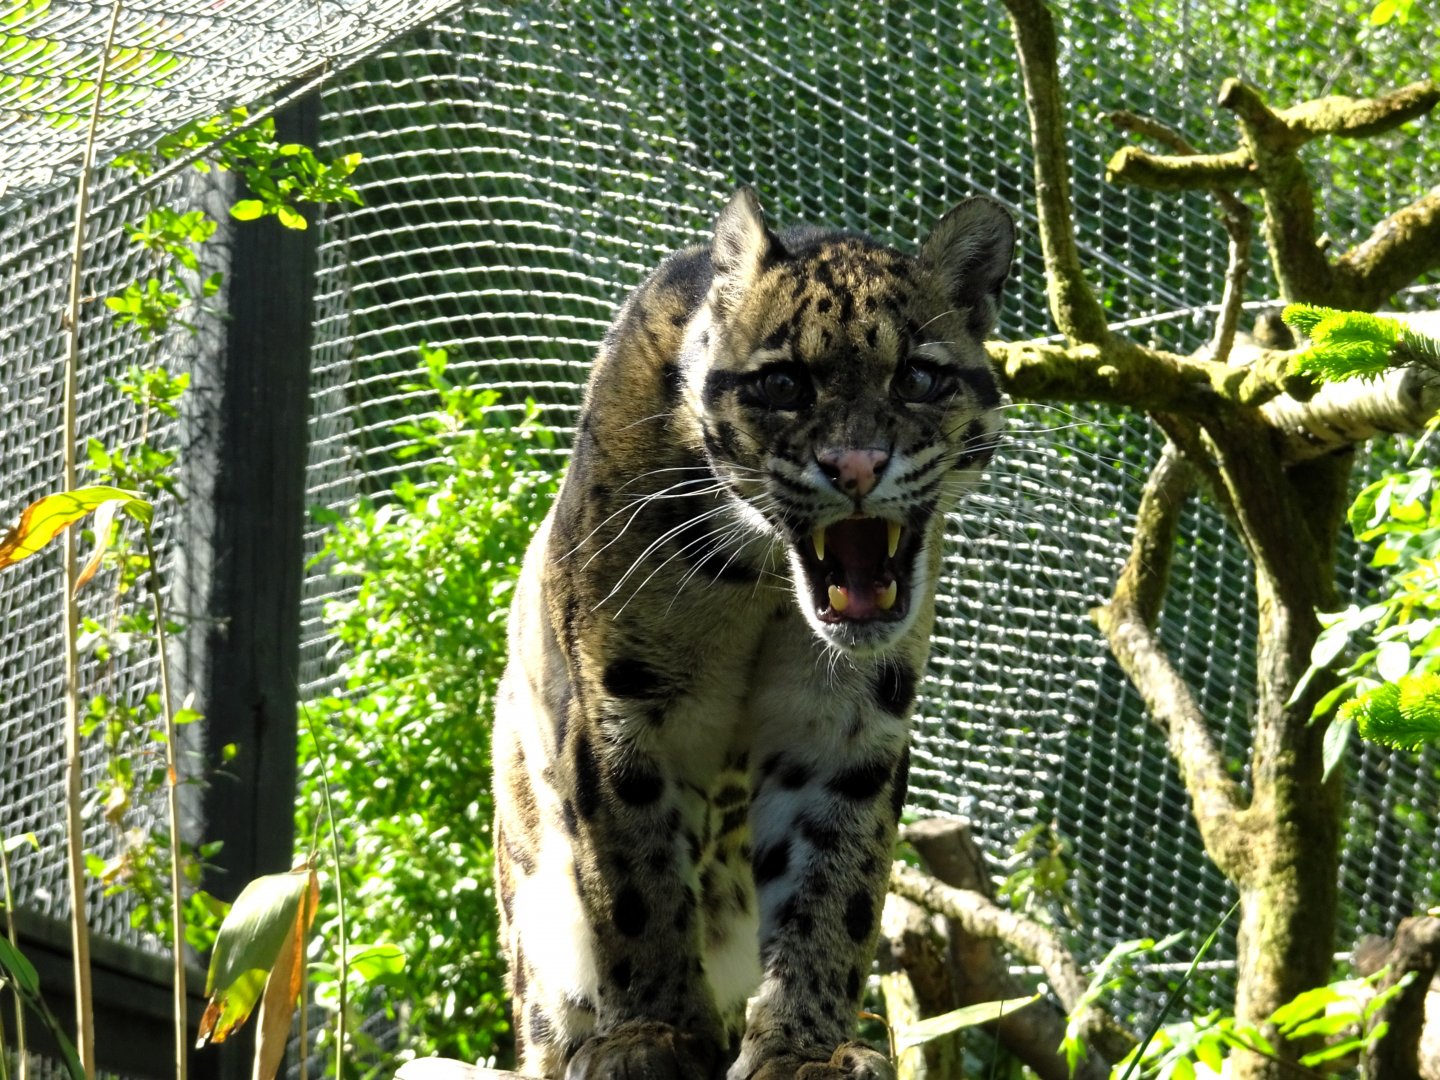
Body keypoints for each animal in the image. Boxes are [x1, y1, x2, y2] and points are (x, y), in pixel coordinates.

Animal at [491, 187, 1015, 1080]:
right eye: (782, 384)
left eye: (918, 376)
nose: (855, 467)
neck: (760, 579)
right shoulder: (619, 707)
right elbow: (634, 880)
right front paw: (654, 1033)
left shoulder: (845, 729)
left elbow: (834, 889)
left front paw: (805, 1047)